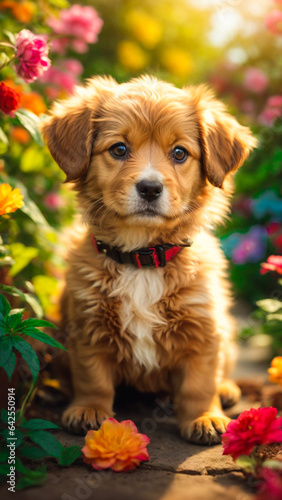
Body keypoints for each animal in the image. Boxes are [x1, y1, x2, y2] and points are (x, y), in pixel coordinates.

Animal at [41, 77, 256, 446]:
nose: (150, 187)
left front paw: (204, 416)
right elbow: (92, 377)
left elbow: (200, 383)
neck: (141, 258)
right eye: (119, 149)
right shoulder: (87, 328)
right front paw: (90, 409)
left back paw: (227, 390)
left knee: (224, 368)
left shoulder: (204, 331)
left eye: (180, 153)